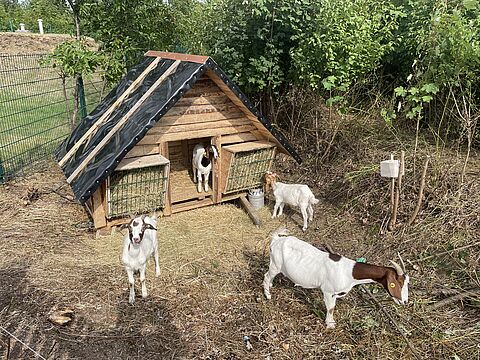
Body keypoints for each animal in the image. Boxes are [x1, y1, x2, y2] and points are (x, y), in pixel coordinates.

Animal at [262, 229, 408, 328]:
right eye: (398, 283)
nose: (405, 301)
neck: (349, 272)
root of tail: (276, 239)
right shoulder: (328, 291)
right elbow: (331, 308)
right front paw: (330, 324)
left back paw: (271, 286)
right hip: (275, 264)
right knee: (266, 276)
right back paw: (267, 294)